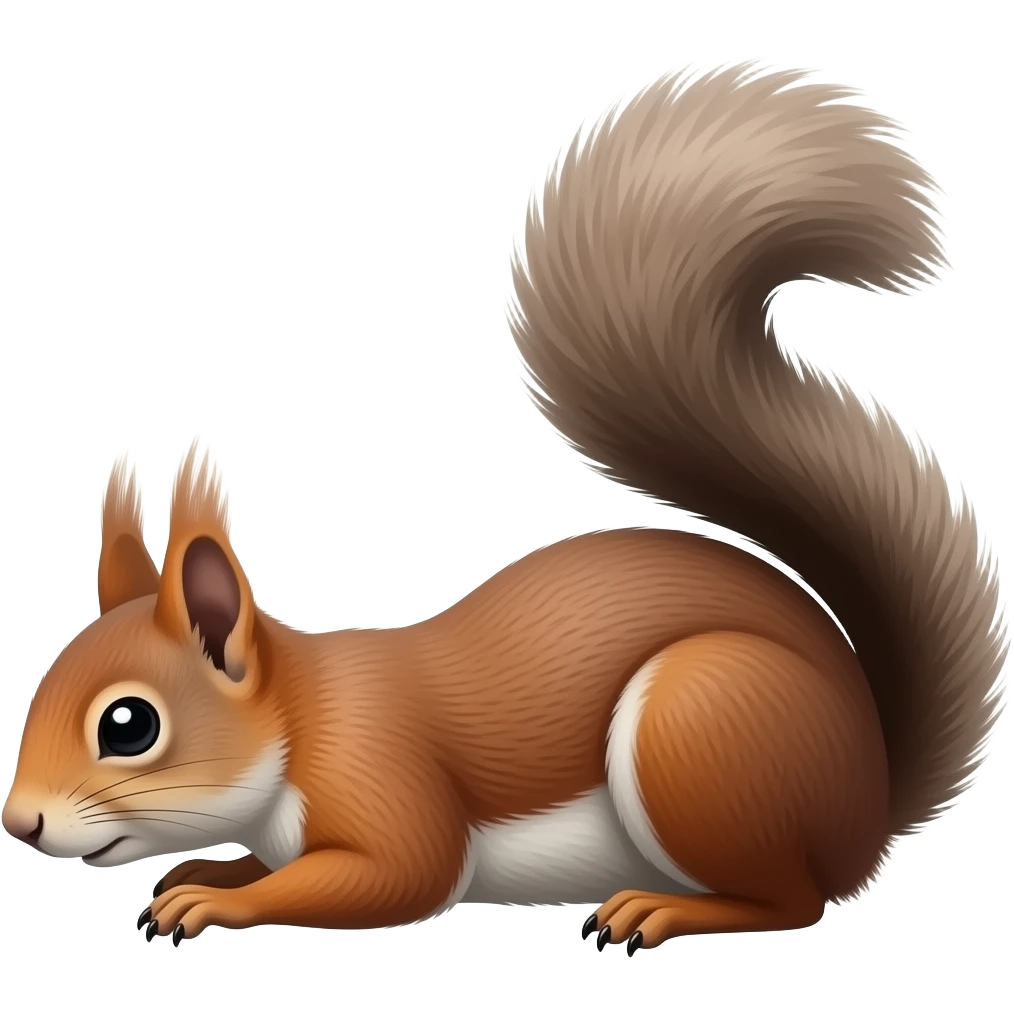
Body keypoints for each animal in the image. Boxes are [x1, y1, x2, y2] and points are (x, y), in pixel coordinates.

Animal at [2, 59, 1007, 954]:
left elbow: (397, 876)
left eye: (129, 726)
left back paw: (662, 910)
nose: (21, 825)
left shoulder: (384, 779)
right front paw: (210, 870)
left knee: (794, 900)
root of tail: (869, 799)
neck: (299, 718)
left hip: (703, 728)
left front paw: (216, 900)